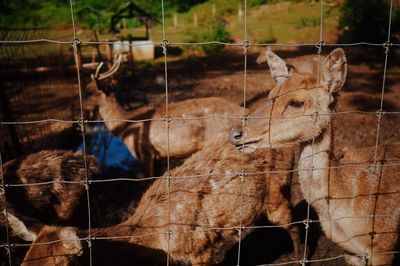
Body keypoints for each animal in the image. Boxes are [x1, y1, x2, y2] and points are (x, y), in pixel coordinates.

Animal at [8, 140, 304, 264]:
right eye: (24, 264)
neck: (157, 238)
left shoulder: (201, 250)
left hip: (276, 192)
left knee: (293, 223)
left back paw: (299, 256)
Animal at [85, 54, 242, 178]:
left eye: (89, 91)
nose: (81, 106)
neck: (125, 126)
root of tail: (243, 111)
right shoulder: (157, 154)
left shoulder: (143, 152)